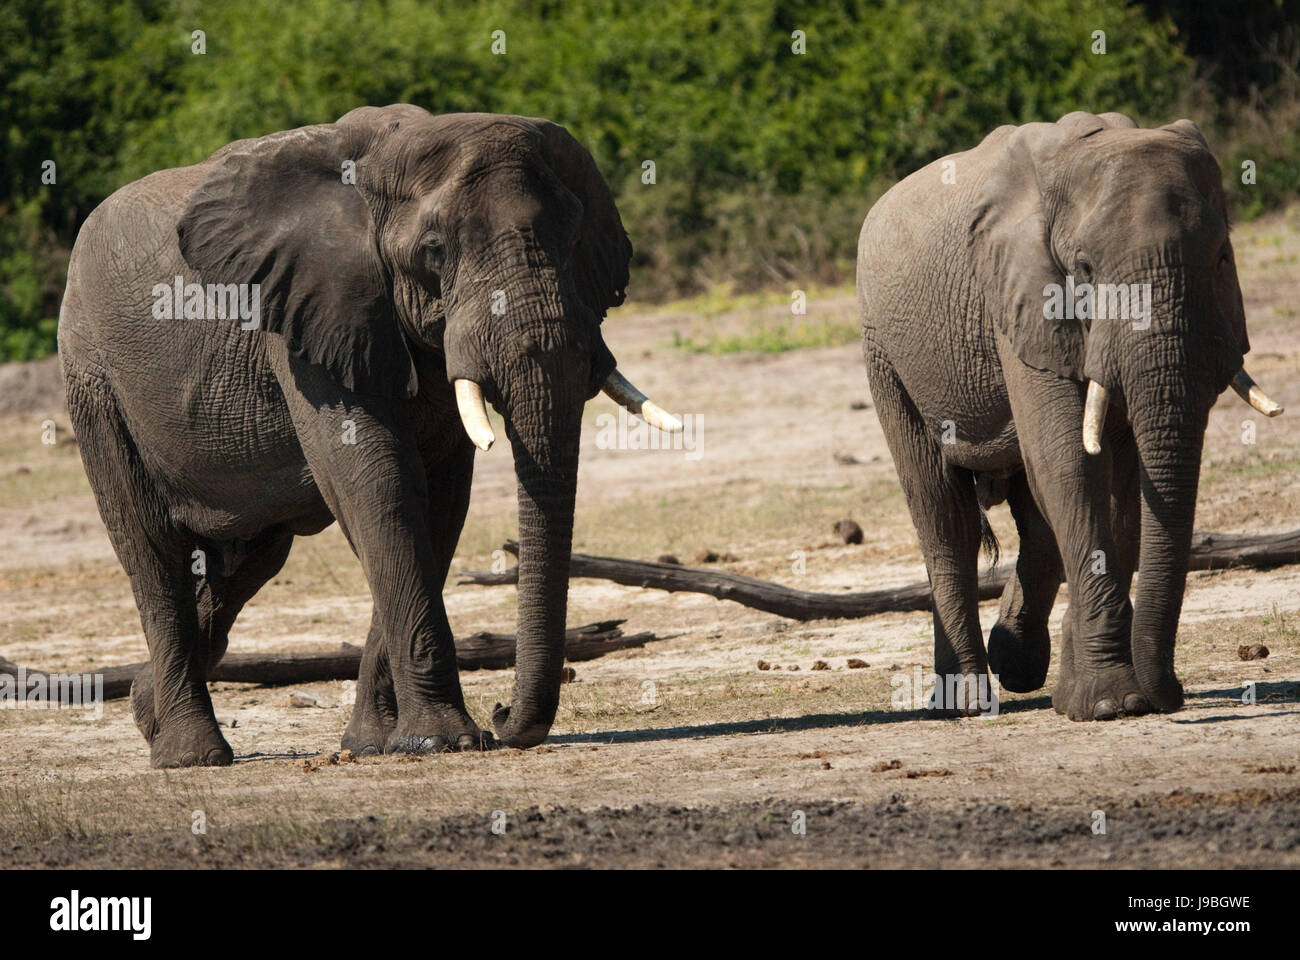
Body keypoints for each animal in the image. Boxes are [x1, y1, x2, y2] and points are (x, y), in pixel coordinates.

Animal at [58, 102, 681, 764]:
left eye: (575, 238)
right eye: (433, 251)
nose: (502, 715)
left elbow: (437, 505)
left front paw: (381, 744)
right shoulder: (308, 316)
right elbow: (378, 487)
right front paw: (444, 739)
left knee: (246, 562)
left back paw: (147, 709)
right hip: (93, 383)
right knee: (153, 553)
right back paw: (192, 755)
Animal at [857, 110, 1284, 718]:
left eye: (1222, 258)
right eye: (1083, 269)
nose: (1173, 695)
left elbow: (1119, 483)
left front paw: (1104, 696)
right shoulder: (1019, 299)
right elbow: (1069, 463)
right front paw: (1112, 704)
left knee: (1034, 519)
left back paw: (1015, 663)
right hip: (885, 355)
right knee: (943, 513)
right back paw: (965, 701)